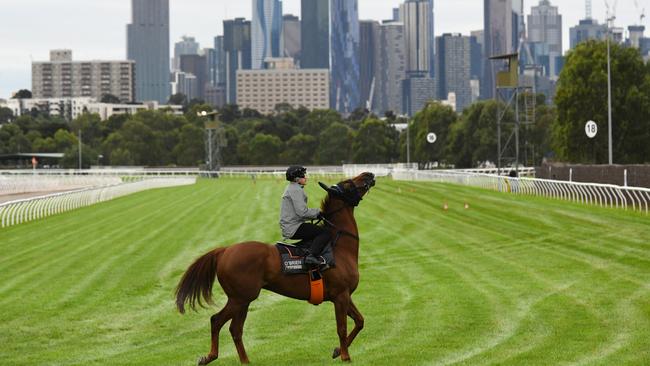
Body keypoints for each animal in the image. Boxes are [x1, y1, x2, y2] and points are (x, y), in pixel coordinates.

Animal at [173, 172, 374, 366]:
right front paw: (345, 356)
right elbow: (342, 328)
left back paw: (244, 360)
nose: (369, 174)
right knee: (217, 321)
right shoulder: (340, 296)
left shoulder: (345, 295)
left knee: (235, 329)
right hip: (240, 299)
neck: (339, 246)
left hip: (243, 301)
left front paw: (337, 351)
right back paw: (210, 356)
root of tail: (225, 250)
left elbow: (360, 321)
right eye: (347, 183)